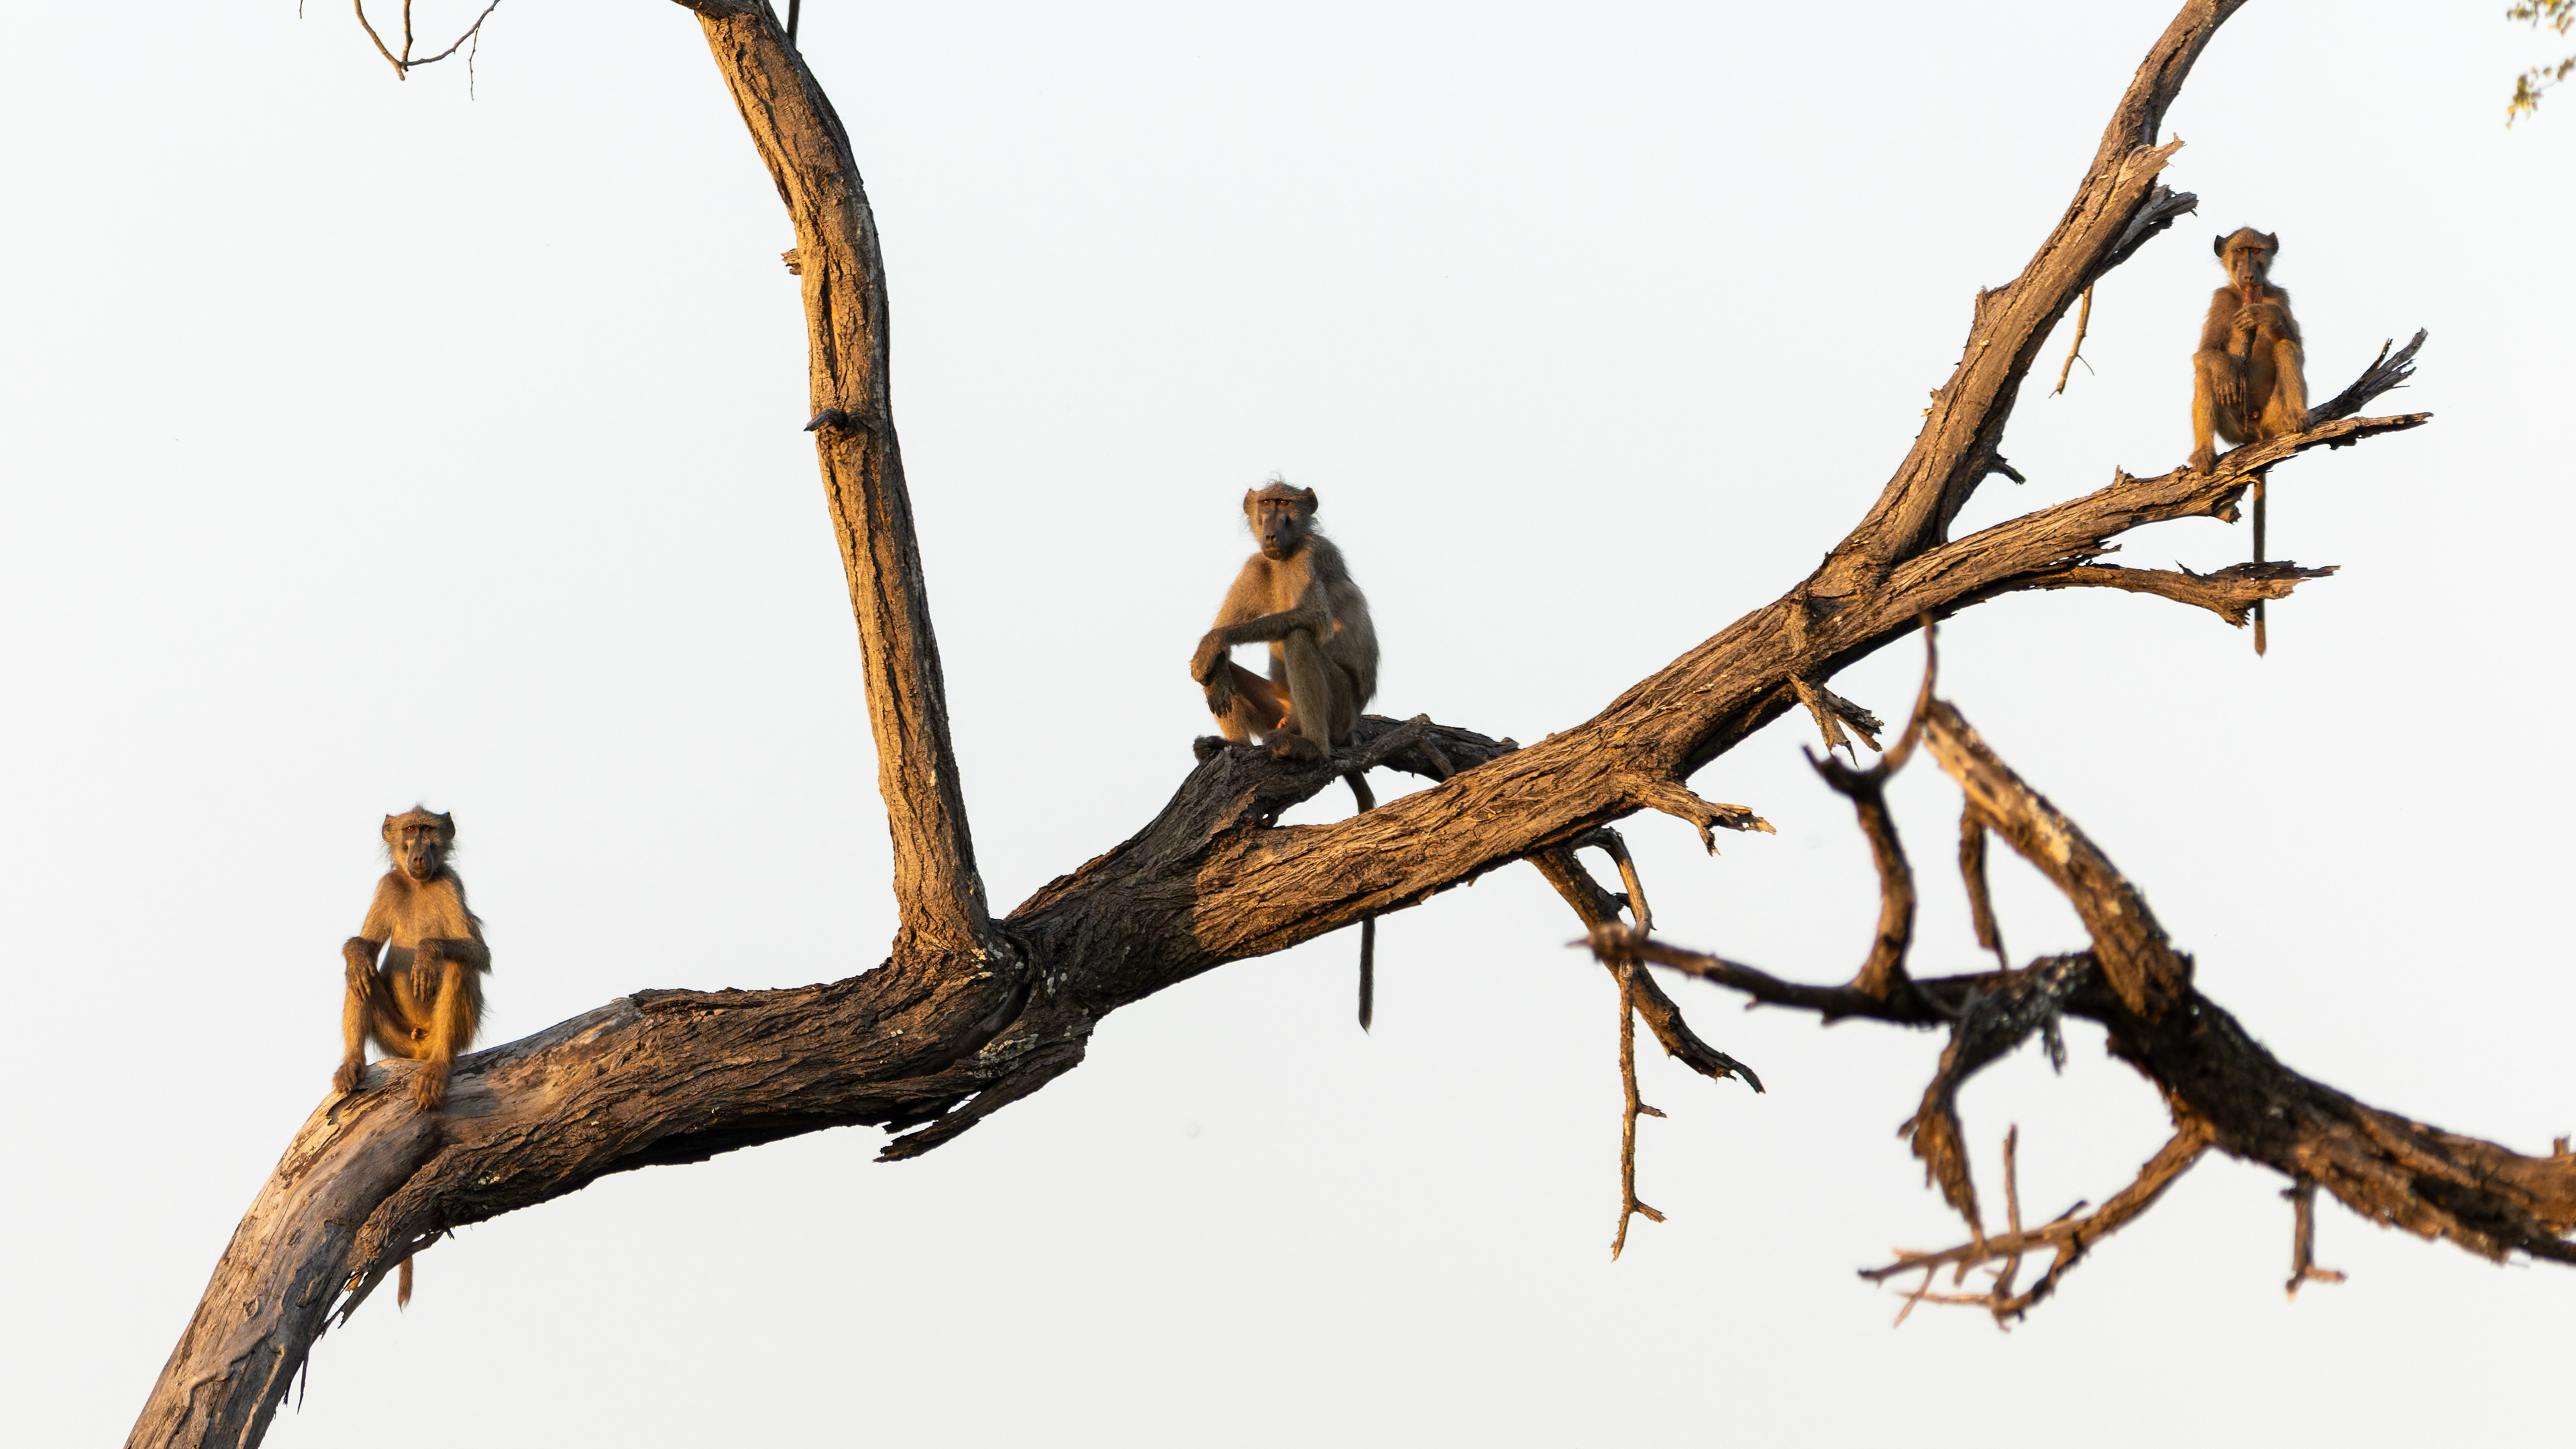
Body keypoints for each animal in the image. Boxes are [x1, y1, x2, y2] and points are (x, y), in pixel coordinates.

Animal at [333, 807, 490, 1306]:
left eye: (428, 831)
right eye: (409, 831)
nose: (419, 856)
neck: (419, 884)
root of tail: (420, 1047)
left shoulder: (451, 884)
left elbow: (477, 953)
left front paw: (426, 953)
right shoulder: (388, 884)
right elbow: (362, 946)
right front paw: (357, 950)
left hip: (447, 1034)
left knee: (459, 966)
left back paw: (438, 1067)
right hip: (398, 1039)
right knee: (359, 973)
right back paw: (351, 1064)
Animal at [1189, 480, 1386, 1028]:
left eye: (1286, 506)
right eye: (1265, 506)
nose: (1273, 531)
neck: (1284, 557)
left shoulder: (1310, 556)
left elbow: (1308, 621)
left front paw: (1210, 644)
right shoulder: (1256, 564)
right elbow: (1217, 651)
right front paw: (1210, 665)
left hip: (1336, 710)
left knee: (1298, 637)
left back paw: (1309, 748)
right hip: (1278, 708)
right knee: (1229, 673)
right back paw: (1230, 746)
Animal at [2190, 227, 2311, 654]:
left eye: (2256, 252)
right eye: (2239, 252)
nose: (2248, 275)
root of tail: (2257, 433)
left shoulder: (2279, 297)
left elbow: (2293, 339)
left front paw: (2264, 318)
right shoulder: (2220, 300)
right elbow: (2207, 354)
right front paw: (2227, 369)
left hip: (2271, 417)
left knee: (2287, 346)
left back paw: (2297, 420)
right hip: (2234, 429)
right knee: (2204, 373)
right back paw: (2204, 454)